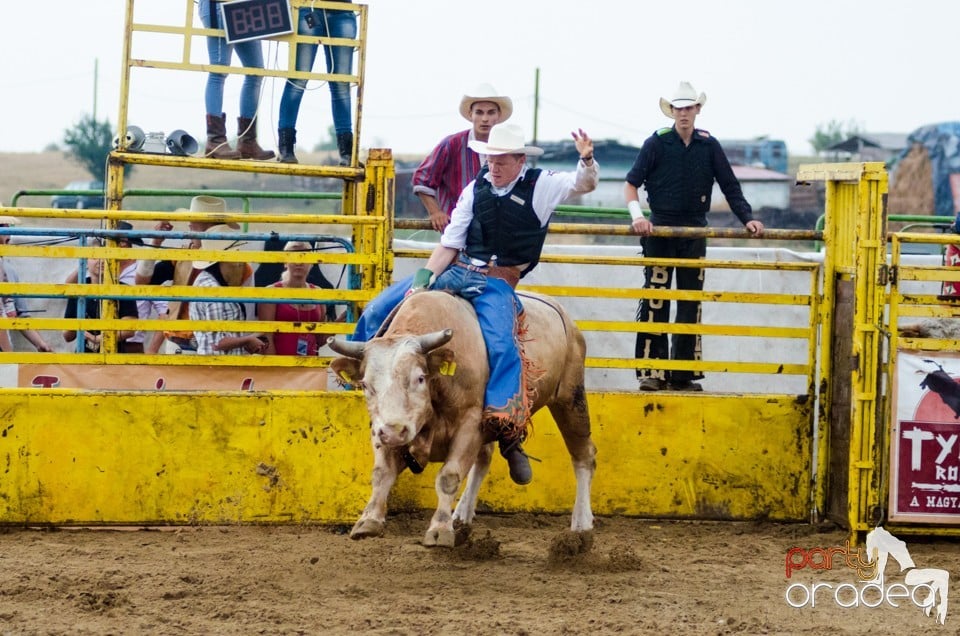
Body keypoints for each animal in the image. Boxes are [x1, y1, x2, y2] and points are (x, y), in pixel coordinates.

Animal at [332, 290, 600, 548]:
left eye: (419, 378)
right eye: (366, 384)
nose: (394, 432)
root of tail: (567, 319)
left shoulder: (469, 425)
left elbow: (449, 477)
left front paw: (440, 529)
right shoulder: (381, 428)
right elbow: (382, 473)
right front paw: (368, 521)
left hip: (571, 398)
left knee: (583, 455)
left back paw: (582, 521)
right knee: (483, 459)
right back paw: (461, 514)